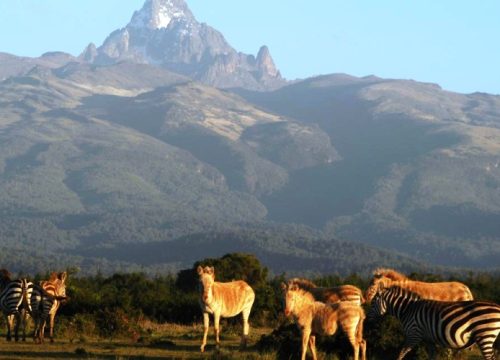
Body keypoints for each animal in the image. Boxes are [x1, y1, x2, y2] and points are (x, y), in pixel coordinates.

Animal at [368, 284, 500, 360]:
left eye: (373, 303)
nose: (367, 321)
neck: (408, 309)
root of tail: (497, 307)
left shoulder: (413, 334)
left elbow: (401, 354)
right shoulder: (429, 340)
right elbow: (432, 356)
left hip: (485, 335)